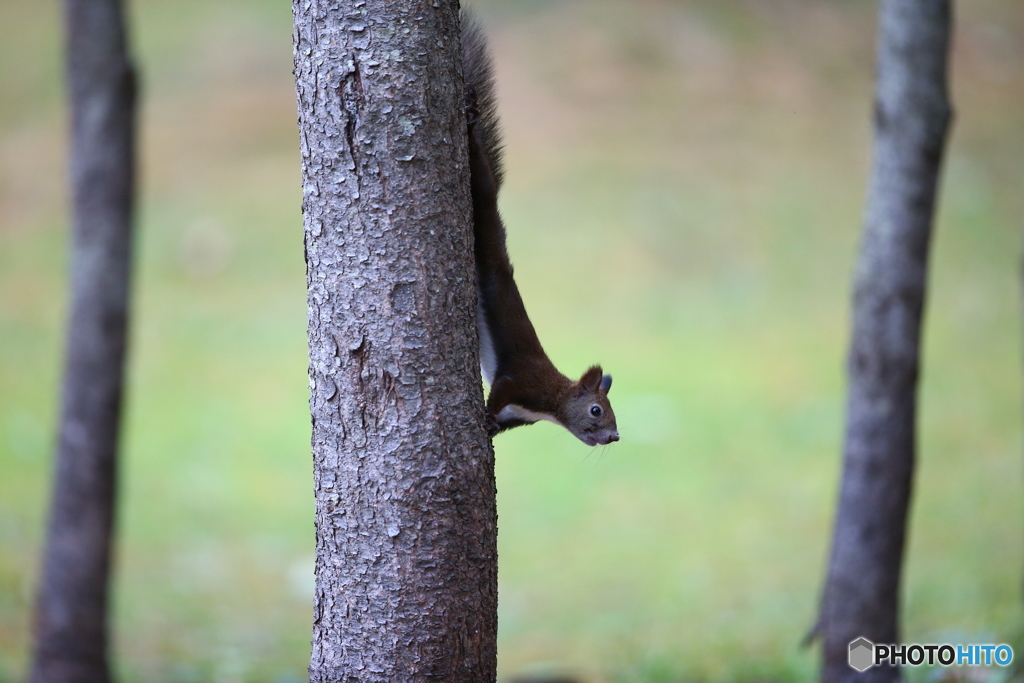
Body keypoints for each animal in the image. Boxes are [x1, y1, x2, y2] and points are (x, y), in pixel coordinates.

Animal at [462, 13, 618, 448]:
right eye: (596, 410)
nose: (615, 437)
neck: (552, 404)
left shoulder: (521, 415)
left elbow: (503, 423)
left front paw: (491, 428)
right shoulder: (519, 383)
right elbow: (499, 392)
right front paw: (483, 417)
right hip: (483, 206)